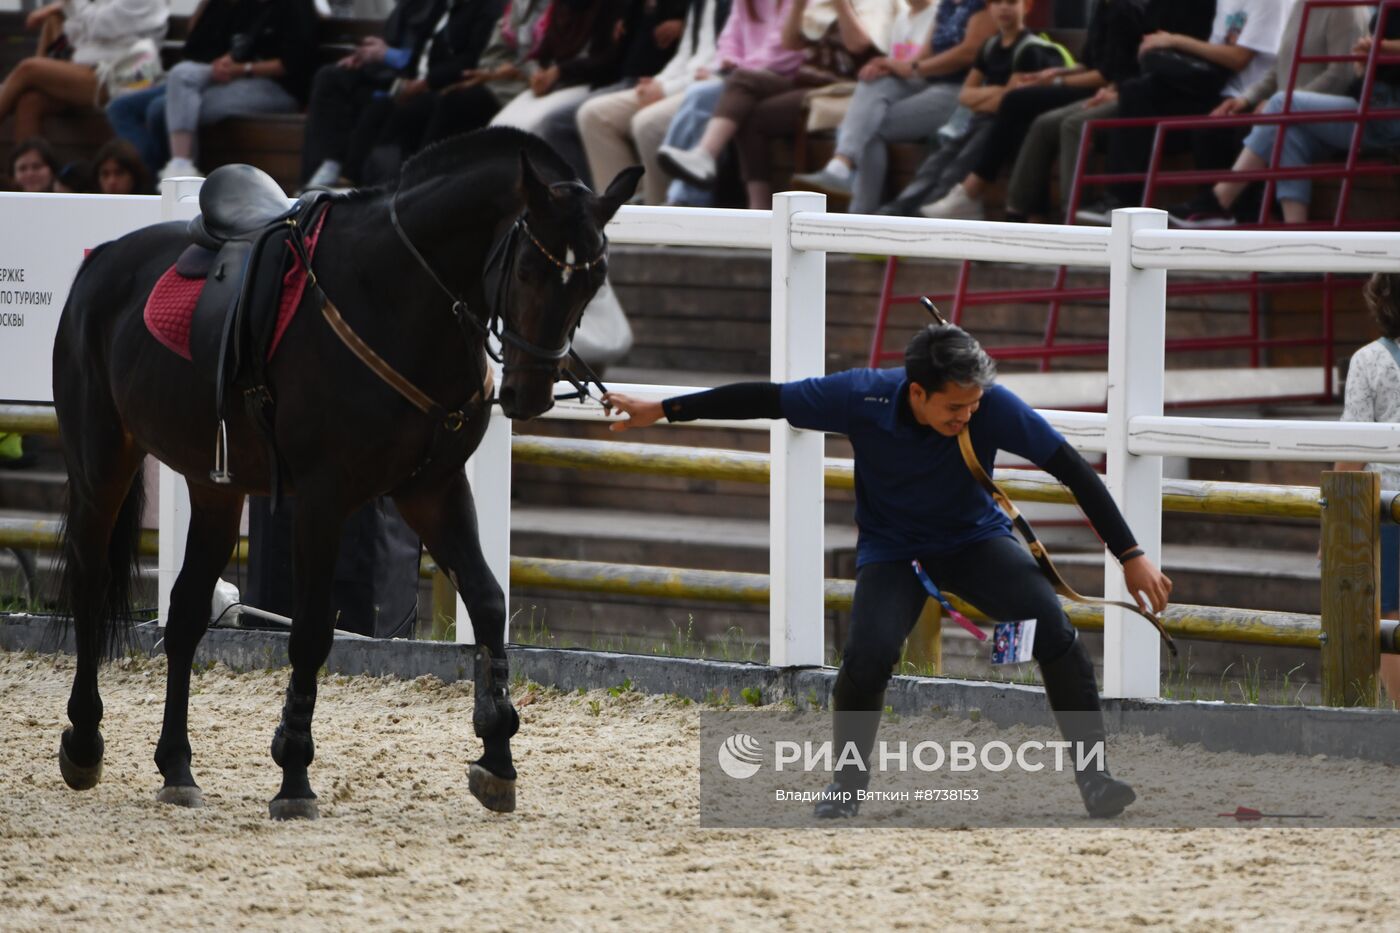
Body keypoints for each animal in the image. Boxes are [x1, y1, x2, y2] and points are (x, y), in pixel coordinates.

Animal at [51, 128, 641, 812]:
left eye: (594, 280)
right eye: (525, 268)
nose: (531, 391)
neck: (396, 296)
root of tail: (103, 260)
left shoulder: (433, 489)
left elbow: (489, 601)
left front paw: (497, 752)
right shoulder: (322, 499)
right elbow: (310, 630)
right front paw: (293, 770)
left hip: (213, 485)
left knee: (187, 612)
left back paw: (176, 766)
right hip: (101, 462)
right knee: (91, 583)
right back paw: (84, 742)